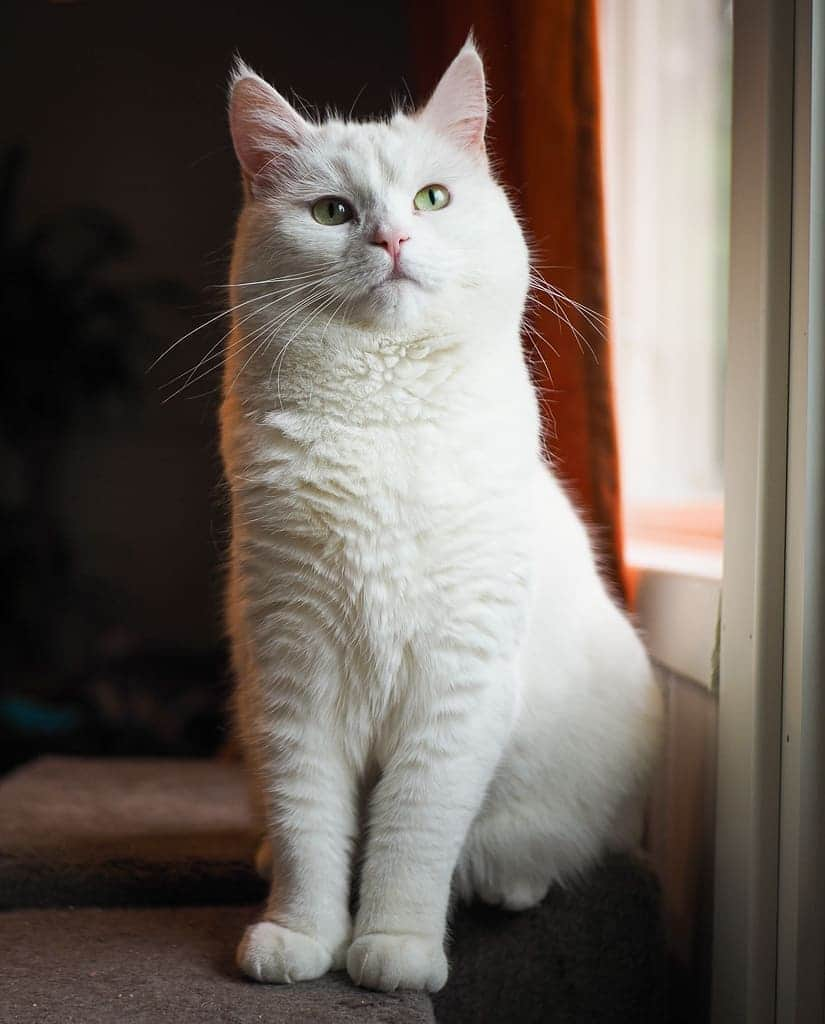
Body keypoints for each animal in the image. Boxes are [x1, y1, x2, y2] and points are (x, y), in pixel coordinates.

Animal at [223, 37, 663, 991]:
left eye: (431, 198)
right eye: (332, 211)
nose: (392, 238)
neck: (384, 414)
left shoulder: (455, 687)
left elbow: (412, 836)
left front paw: (393, 948)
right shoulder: (291, 674)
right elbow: (310, 828)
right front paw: (300, 937)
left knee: (521, 849)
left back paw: (505, 882)